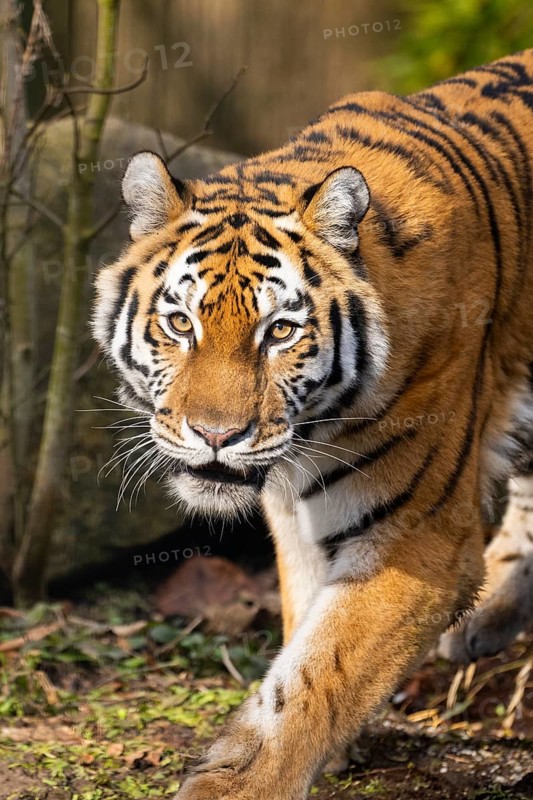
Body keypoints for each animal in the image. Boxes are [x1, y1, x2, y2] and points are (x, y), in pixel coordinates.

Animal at [92, 50, 533, 800]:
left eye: (280, 331)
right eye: (179, 323)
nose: (216, 435)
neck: (319, 433)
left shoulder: (421, 537)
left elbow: (318, 676)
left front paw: (239, 785)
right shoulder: (294, 507)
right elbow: (305, 624)